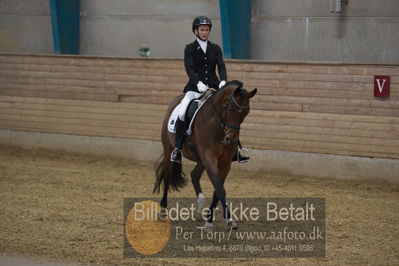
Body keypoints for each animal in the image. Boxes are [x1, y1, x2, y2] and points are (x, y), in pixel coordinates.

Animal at [152, 80, 258, 229]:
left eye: (246, 112)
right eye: (230, 109)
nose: (231, 140)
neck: (217, 125)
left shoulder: (225, 162)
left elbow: (217, 190)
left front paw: (210, 220)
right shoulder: (209, 158)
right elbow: (220, 189)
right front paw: (228, 220)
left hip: (200, 159)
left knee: (194, 175)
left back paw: (198, 209)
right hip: (169, 149)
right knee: (167, 177)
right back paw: (162, 211)